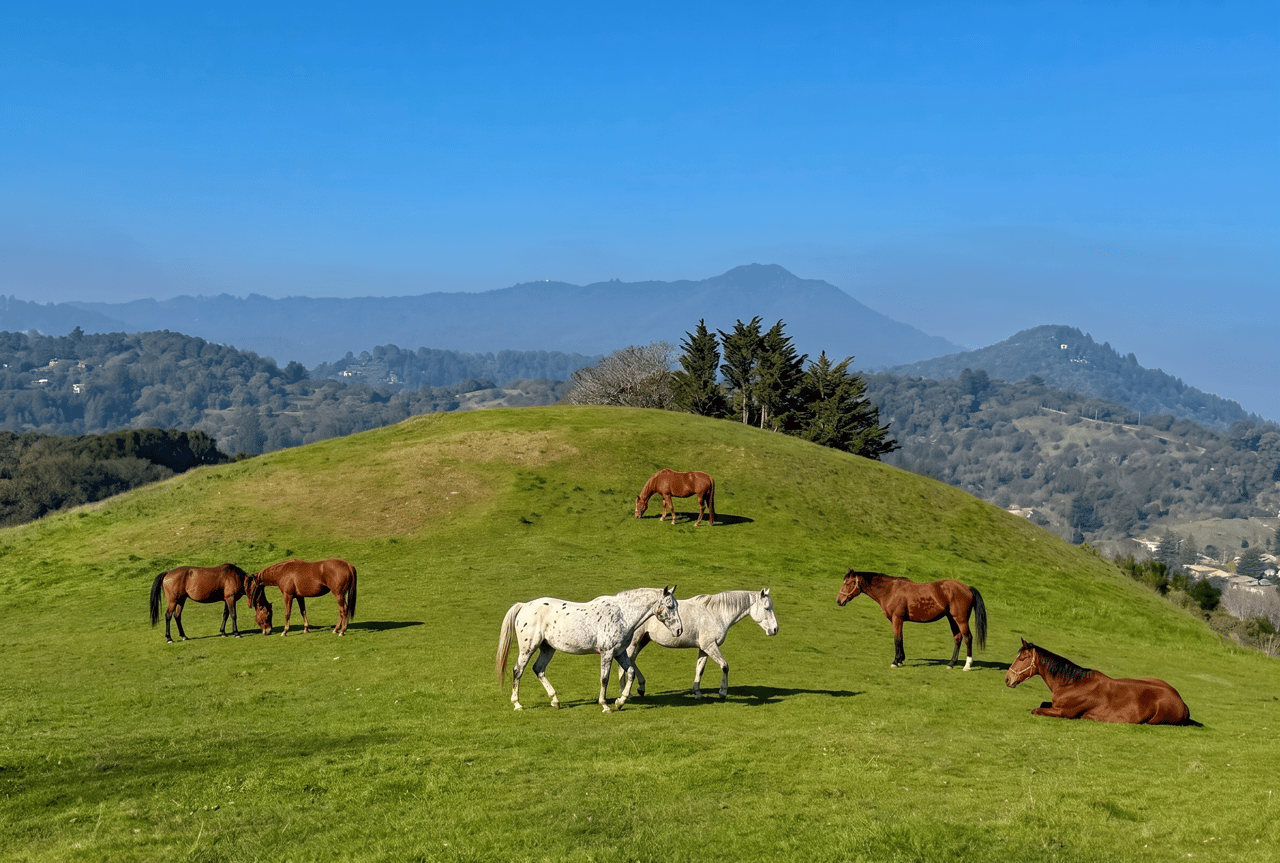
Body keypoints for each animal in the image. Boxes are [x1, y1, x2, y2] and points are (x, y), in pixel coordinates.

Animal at [495, 586, 681, 712]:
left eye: (677, 605)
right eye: (670, 606)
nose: (679, 630)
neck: (621, 615)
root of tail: (524, 606)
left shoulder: (620, 652)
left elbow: (630, 673)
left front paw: (620, 702)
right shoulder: (607, 653)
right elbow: (604, 679)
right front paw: (605, 705)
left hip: (547, 648)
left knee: (538, 669)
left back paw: (555, 701)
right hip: (528, 648)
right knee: (518, 670)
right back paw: (517, 704)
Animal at [622, 588, 778, 700]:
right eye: (767, 608)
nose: (775, 629)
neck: (717, 613)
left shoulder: (704, 649)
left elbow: (700, 669)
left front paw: (697, 692)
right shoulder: (710, 646)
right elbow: (725, 666)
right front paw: (722, 692)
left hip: (643, 640)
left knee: (631, 660)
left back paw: (640, 688)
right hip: (635, 642)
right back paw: (626, 694)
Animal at [836, 570, 987, 669]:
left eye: (848, 583)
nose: (839, 600)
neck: (890, 590)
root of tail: (967, 588)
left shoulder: (897, 618)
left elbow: (897, 639)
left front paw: (895, 662)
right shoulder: (897, 620)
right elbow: (900, 638)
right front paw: (901, 659)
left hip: (960, 619)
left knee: (968, 638)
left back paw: (967, 665)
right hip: (952, 619)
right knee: (957, 638)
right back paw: (951, 663)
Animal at [1005, 638, 1199, 725]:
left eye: (1022, 658)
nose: (1007, 679)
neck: (1073, 683)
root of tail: (1182, 703)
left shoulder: (1063, 713)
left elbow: (1036, 709)